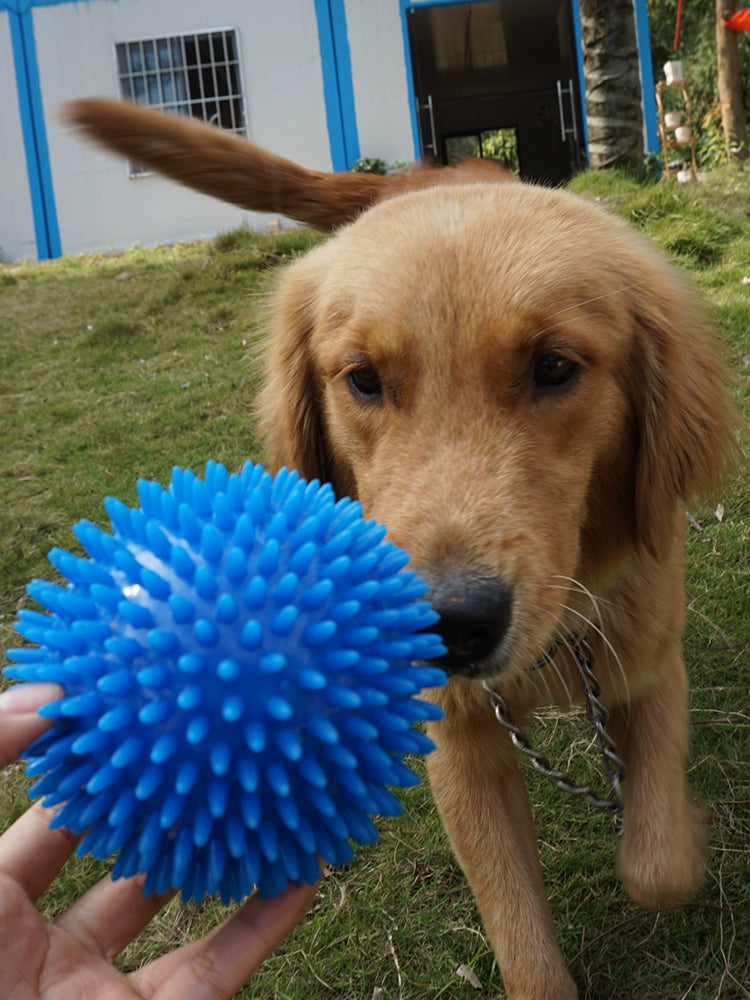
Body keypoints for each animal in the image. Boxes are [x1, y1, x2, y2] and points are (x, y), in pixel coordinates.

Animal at [66, 103, 740, 1000]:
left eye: (555, 367)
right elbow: (519, 933)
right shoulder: (460, 742)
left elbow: (658, 864)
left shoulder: (652, 661)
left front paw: (685, 834)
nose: (448, 625)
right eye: (363, 378)